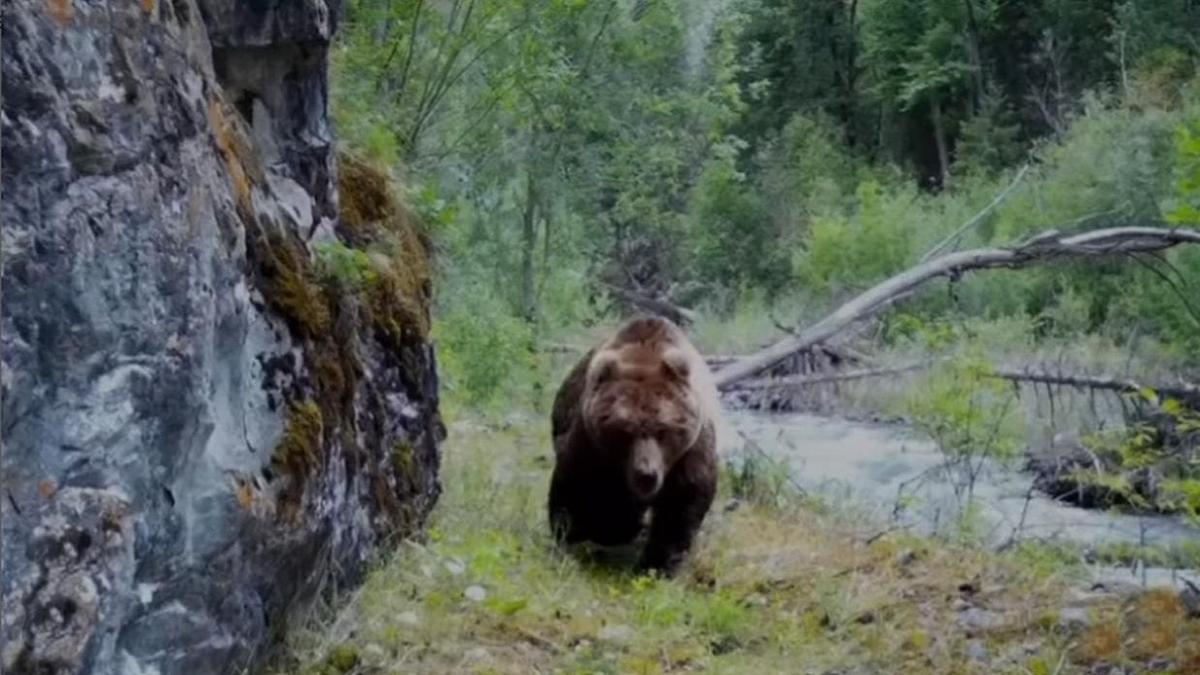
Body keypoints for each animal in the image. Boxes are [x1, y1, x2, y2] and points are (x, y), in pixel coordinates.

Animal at [547, 314, 720, 571]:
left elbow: (681, 502)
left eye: (663, 430)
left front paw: (659, 562)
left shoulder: (690, 450)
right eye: (625, 431)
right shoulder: (590, 443)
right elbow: (580, 488)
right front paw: (590, 530)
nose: (646, 474)